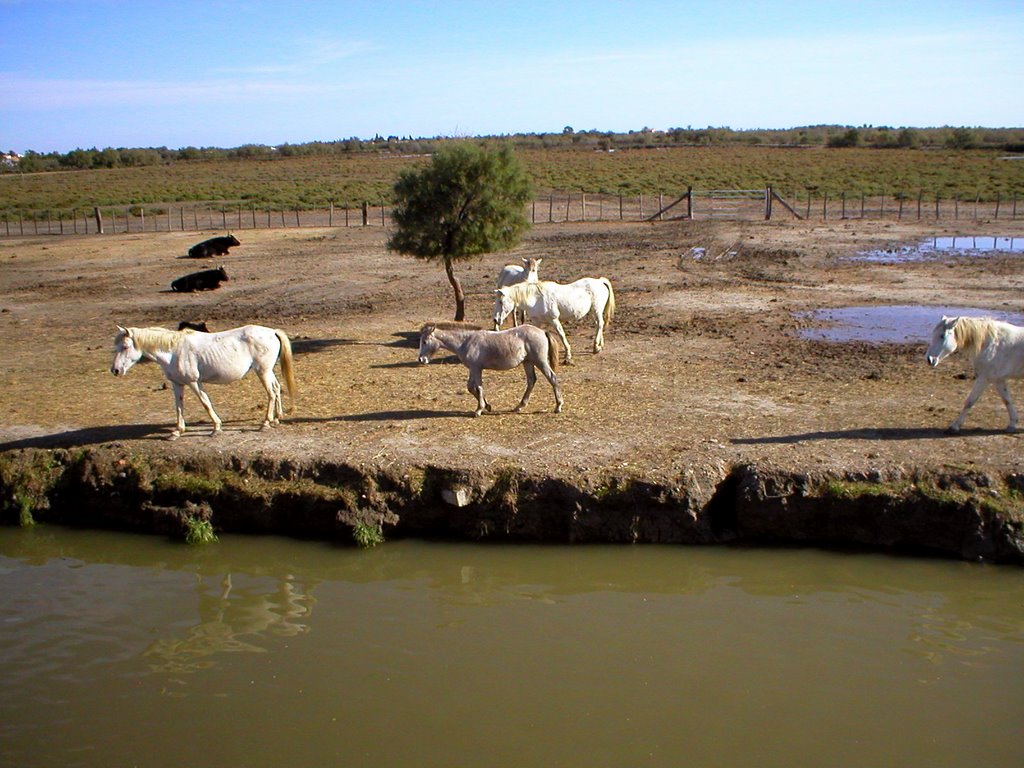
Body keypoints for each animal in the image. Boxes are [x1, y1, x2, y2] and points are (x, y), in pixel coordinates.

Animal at [112, 323, 296, 438]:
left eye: (126, 347)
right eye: (116, 347)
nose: (115, 370)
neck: (174, 351)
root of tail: (272, 332)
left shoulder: (194, 382)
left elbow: (205, 403)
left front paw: (216, 428)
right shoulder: (177, 384)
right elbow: (179, 406)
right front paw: (177, 432)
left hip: (262, 371)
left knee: (271, 393)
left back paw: (265, 423)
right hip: (267, 371)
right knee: (277, 388)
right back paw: (277, 418)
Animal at [415, 321, 565, 417]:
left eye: (425, 341)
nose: (421, 359)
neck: (466, 341)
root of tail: (542, 331)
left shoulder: (476, 369)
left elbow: (479, 387)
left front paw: (479, 410)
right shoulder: (473, 368)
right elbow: (470, 387)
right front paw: (487, 406)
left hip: (540, 361)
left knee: (552, 378)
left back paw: (558, 406)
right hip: (527, 362)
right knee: (531, 381)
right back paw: (519, 406)